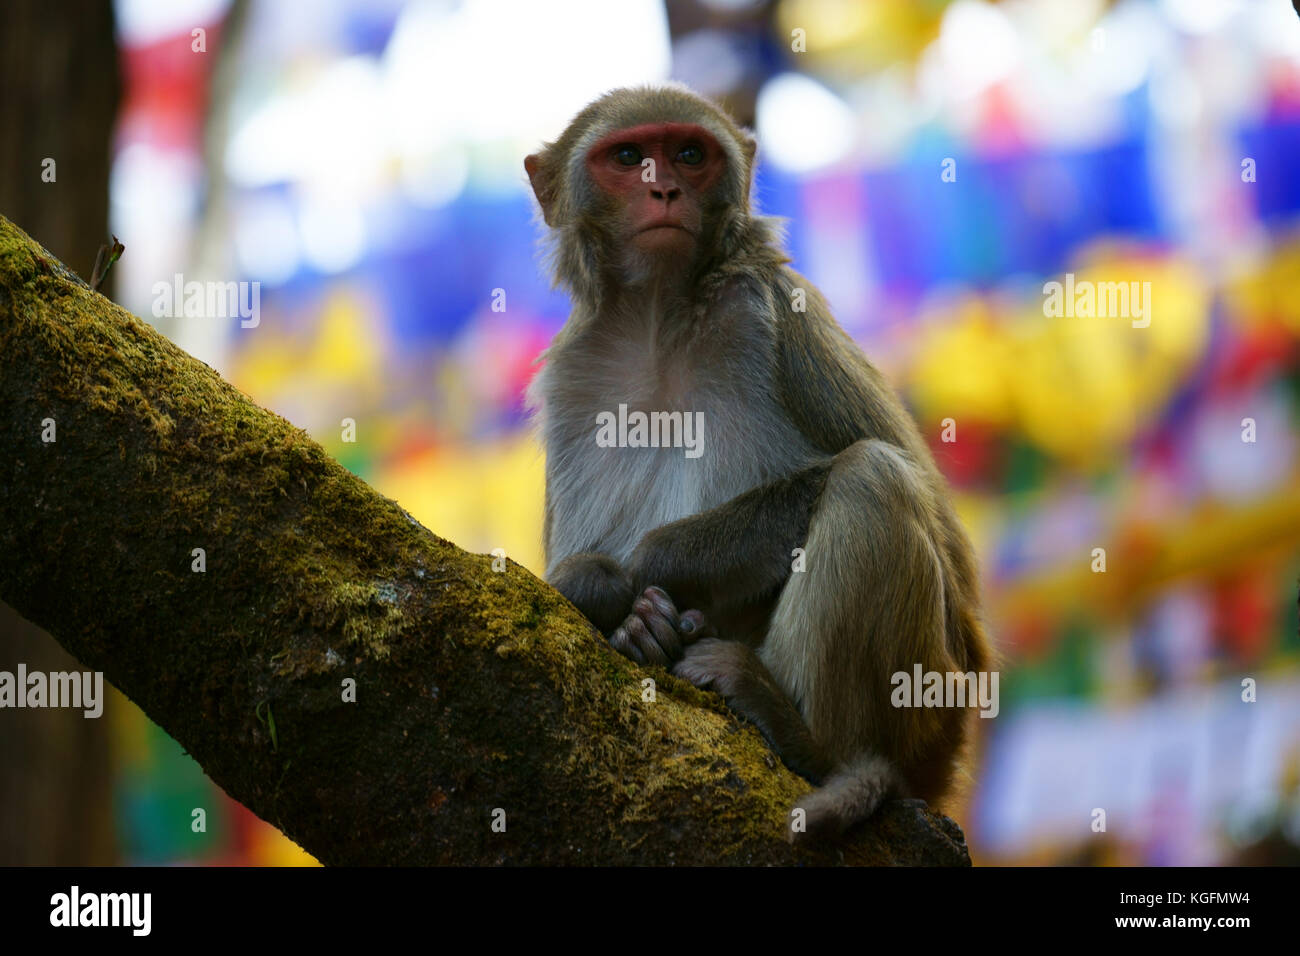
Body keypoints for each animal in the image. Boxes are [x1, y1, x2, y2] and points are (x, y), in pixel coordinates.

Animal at [522, 85, 987, 842]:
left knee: (874, 476)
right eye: (627, 156)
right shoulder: (573, 379)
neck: (659, 320)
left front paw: (649, 570)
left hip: (937, 707)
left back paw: (812, 744)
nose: (664, 187)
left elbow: (946, 548)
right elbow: (567, 578)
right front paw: (628, 618)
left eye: (689, 152)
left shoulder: (769, 307)